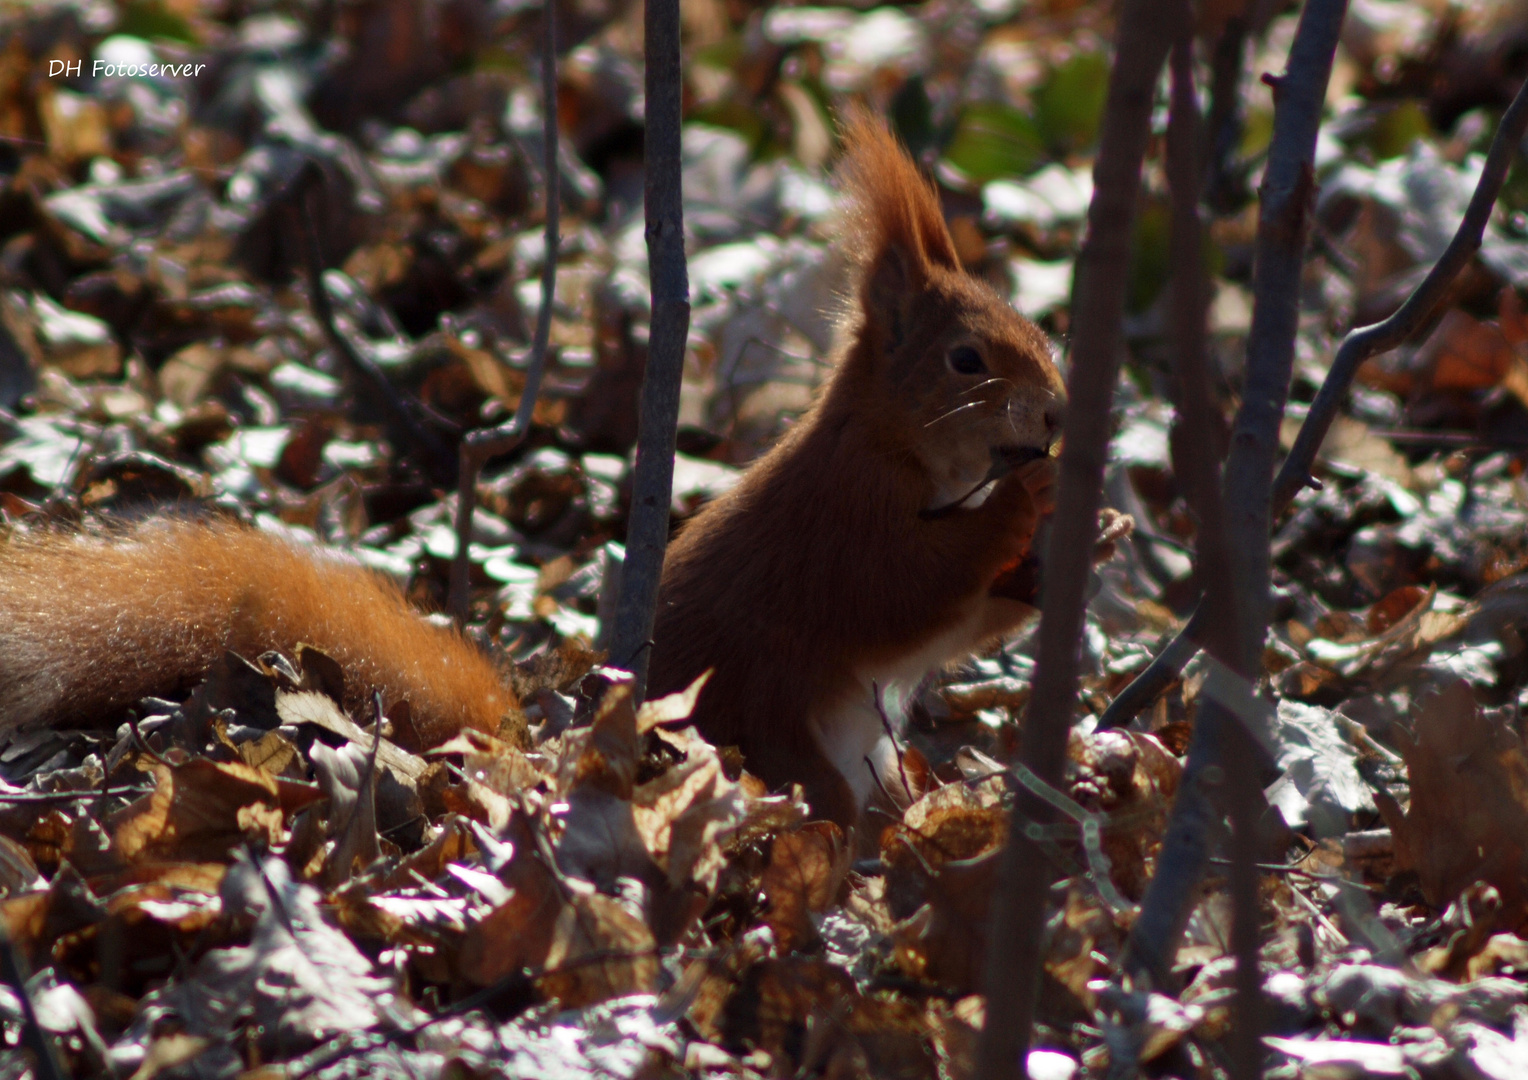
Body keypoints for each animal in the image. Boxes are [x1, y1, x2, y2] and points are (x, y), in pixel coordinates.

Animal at [0, 118, 1063, 831]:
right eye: (968, 360)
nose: (1056, 414)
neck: (896, 444)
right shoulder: (848, 521)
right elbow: (909, 595)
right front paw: (1032, 500)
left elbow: (961, 623)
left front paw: (1050, 563)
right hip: (781, 741)